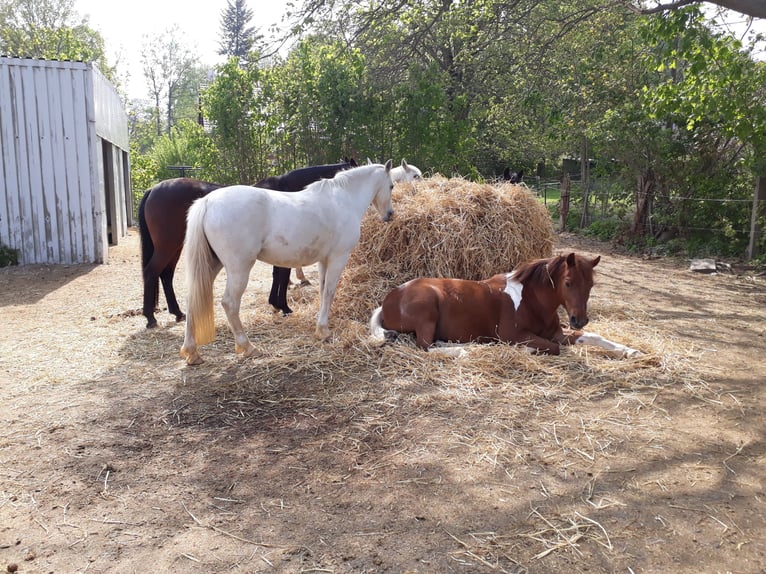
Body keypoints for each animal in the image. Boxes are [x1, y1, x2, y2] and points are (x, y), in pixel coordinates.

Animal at [138, 160, 356, 328]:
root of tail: (153, 189)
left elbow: (277, 274)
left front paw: (275, 304)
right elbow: (282, 275)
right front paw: (284, 306)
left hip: (175, 247)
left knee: (166, 275)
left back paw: (177, 313)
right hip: (167, 246)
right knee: (152, 272)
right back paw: (151, 318)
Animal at [180, 160, 394, 365]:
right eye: (392, 186)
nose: (390, 214)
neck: (344, 199)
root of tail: (207, 201)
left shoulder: (324, 261)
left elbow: (322, 290)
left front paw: (320, 326)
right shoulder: (338, 258)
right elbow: (329, 292)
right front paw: (323, 331)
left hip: (212, 265)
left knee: (193, 301)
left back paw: (192, 352)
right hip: (239, 269)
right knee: (230, 304)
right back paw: (247, 347)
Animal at [369, 252, 641, 357]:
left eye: (592, 284)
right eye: (568, 283)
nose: (579, 320)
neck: (531, 301)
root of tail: (389, 299)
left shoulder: (557, 333)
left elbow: (592, 337)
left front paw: (629, 350)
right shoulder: (514, 335)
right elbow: (551, 348)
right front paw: (526, 351)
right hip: (427, 309)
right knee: (424, 346)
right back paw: (462, 350)